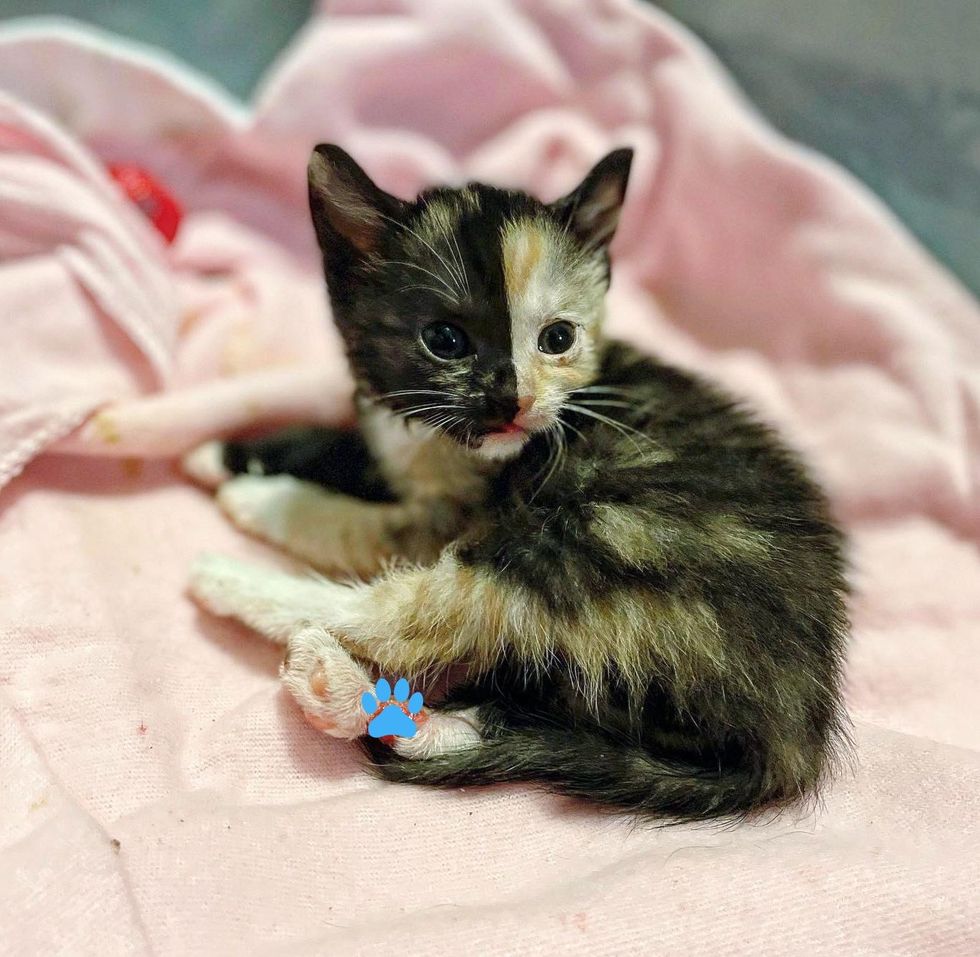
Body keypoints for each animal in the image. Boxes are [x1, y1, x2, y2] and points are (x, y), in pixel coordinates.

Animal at [186, 146, 848, 816]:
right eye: (444, 339)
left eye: (557, 338)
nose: (515, 401)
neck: (438, 437)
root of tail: (794, 735)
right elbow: (344, 444)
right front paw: (221, 453)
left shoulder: (450, 518)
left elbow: (355, 526)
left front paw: (264, 498)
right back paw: (354, 698)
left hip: (587, 542)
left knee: (412, 621)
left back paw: (250, 599)